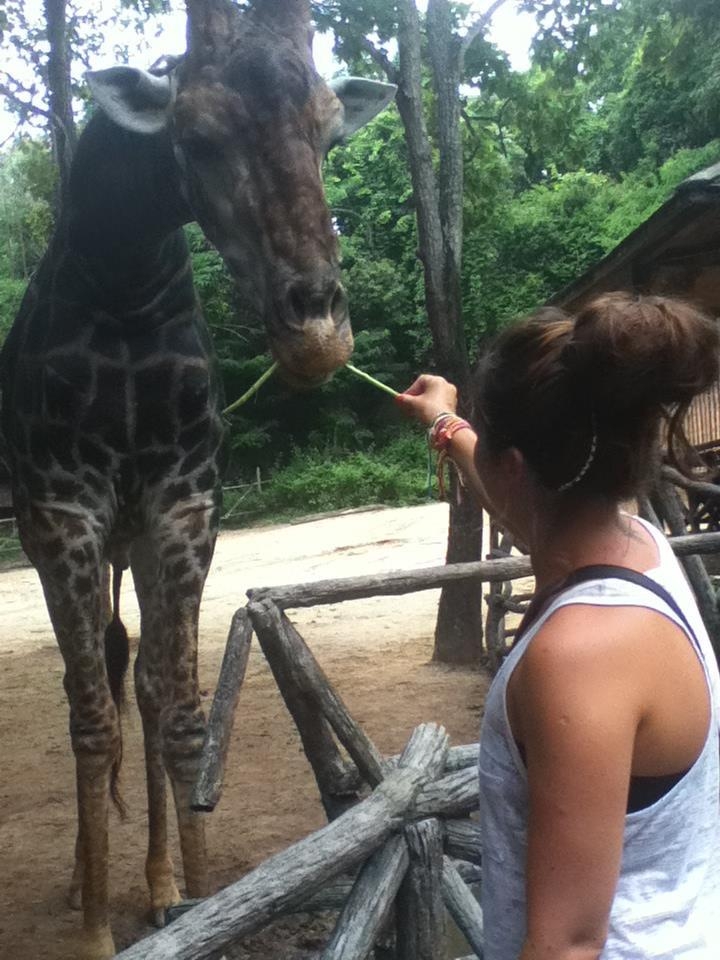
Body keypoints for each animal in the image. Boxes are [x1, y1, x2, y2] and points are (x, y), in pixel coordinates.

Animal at [0, 3, 394, 956]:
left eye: (330, 133)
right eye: (200, 137)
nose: (316, 333)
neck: (126, 289)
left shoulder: (183, 501)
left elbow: (178, 711)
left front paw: (202, 897)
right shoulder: (60, 508)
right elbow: (90, 719)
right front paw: (96, 933)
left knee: (141, 685)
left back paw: (157, 882)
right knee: (96, 690)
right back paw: (86, 883)